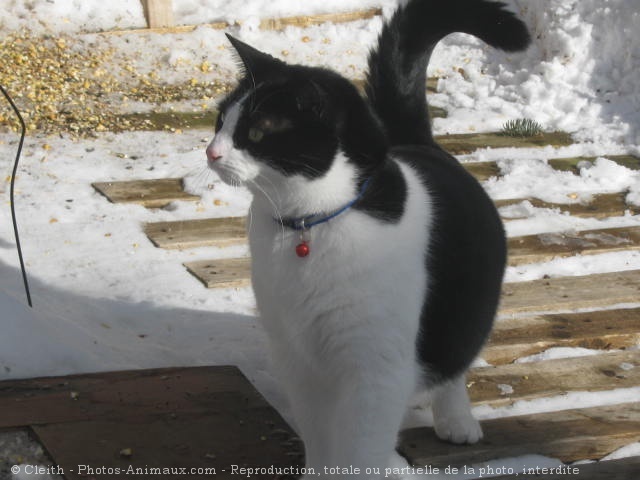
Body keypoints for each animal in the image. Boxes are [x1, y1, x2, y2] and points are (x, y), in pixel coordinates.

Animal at [206, 0, 528, 474]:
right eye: (220, 120)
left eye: (258, 130)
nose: (211, 152)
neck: (310, 225)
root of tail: (419, 142)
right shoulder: (298, 359)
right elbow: (320, 441)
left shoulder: (374, 369)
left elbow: (360, 448)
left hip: (465, 309)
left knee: (454, 360)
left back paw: (457, 421)